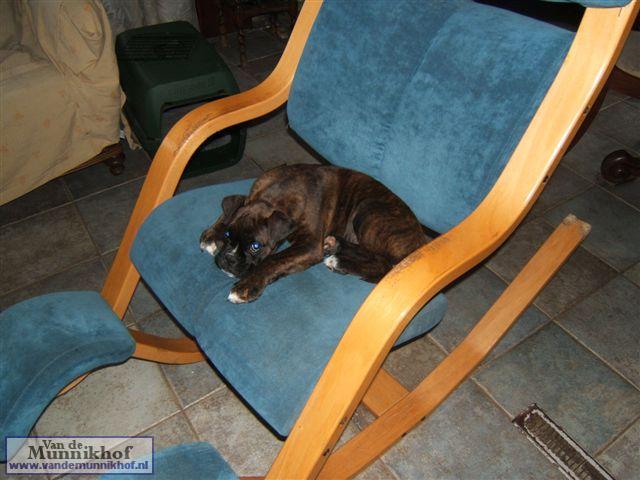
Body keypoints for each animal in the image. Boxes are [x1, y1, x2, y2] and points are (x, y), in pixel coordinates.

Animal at [199, 164, 428, 303]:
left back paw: (338, 261)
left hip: (368, 210)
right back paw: (335, 247)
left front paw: (246, 287)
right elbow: (227, 211)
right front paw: (211, 235)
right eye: (227, 237)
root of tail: (420, 239)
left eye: (255, 247)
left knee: (385, 265)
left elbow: (274, 260)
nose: (228, 260)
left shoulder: (308, 246)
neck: (276, 197)